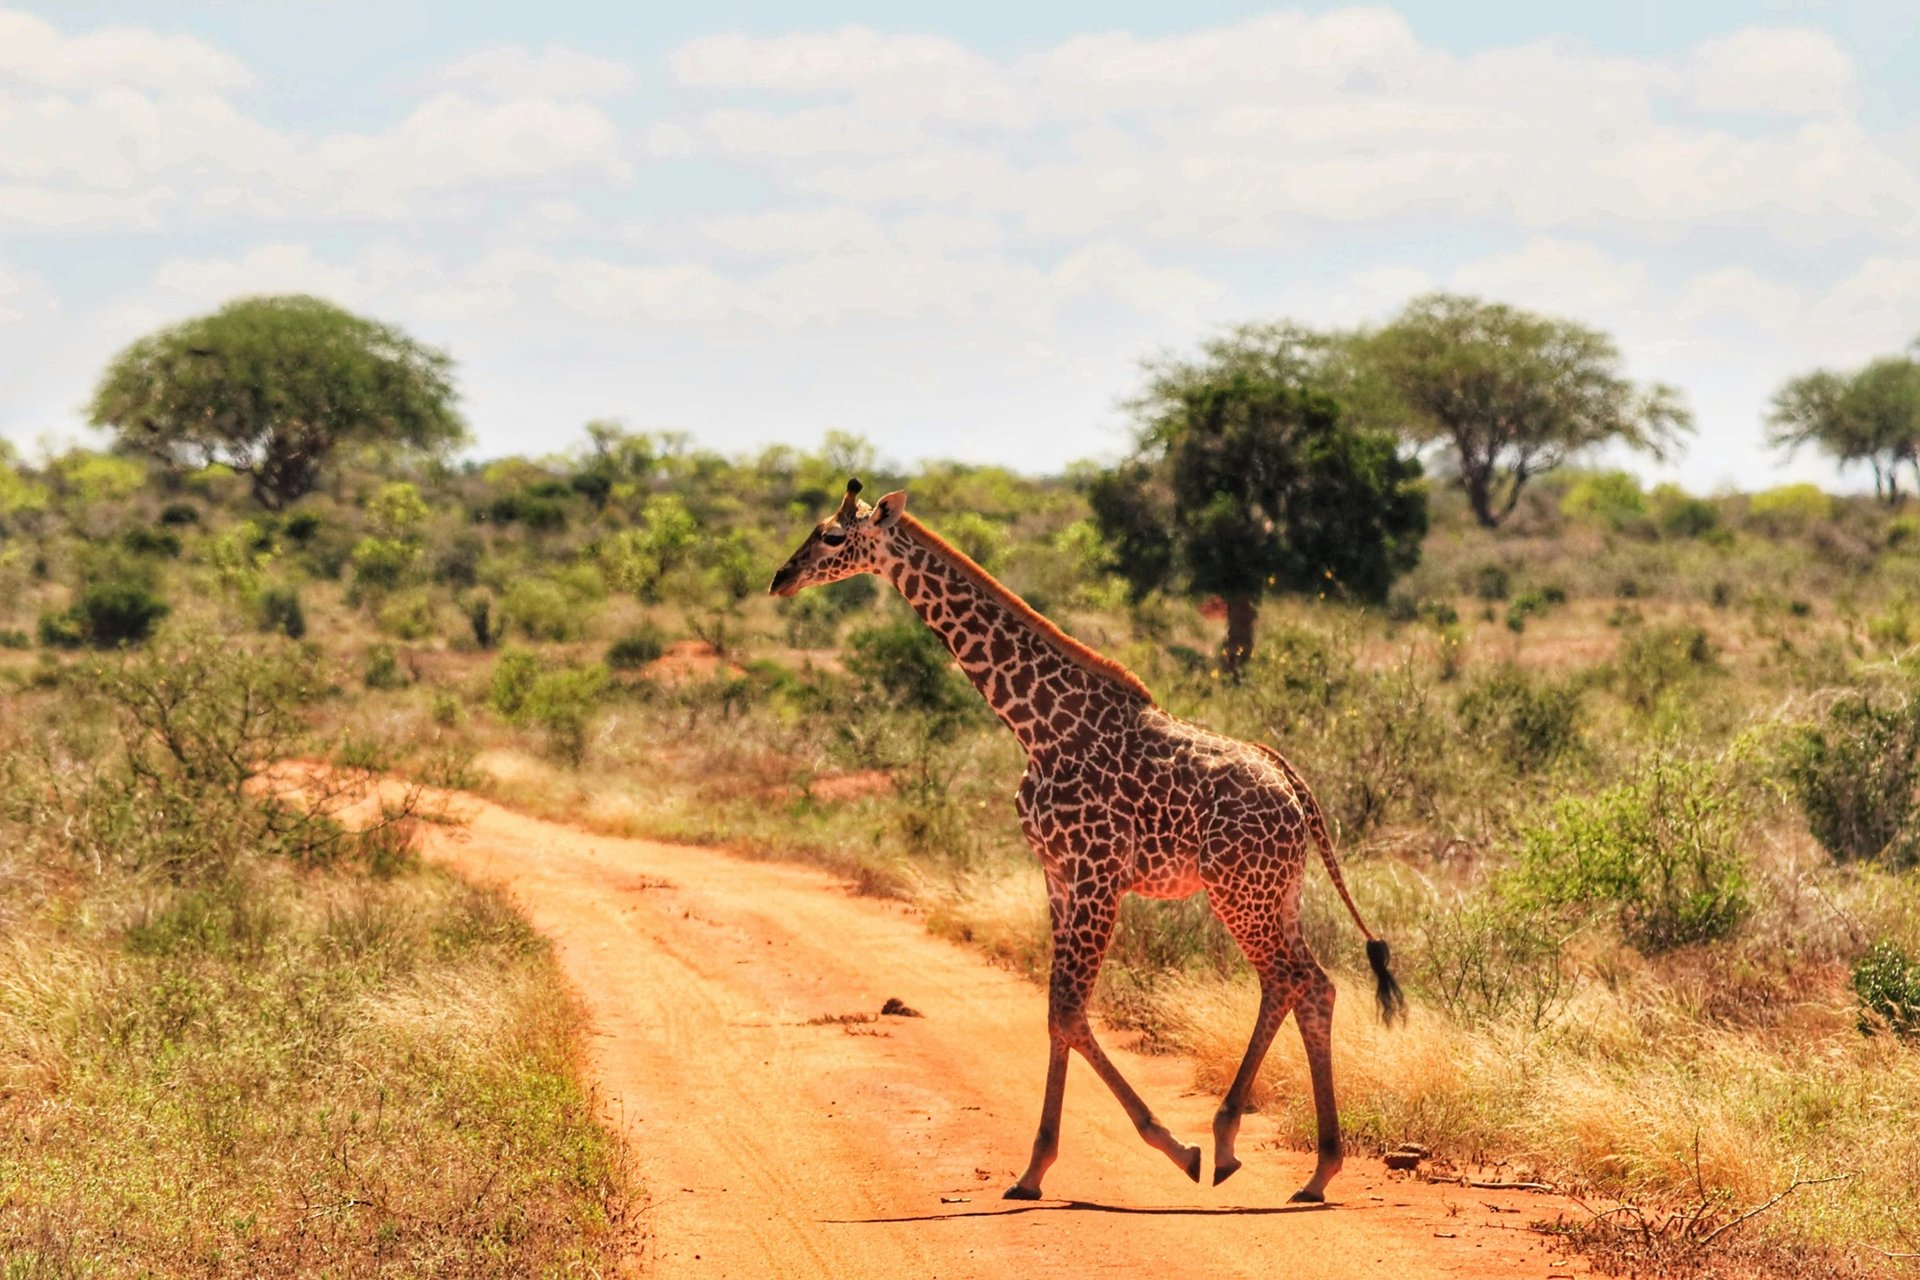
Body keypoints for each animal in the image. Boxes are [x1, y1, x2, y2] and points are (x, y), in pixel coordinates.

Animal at [768, 477, 1413, 1205]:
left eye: (832, 537)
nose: (780, 578)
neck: (1037, 726)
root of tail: (1295, 790)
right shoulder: (1056, 873)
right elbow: (1059, 1012)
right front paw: (1033, 1171)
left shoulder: (1097, 872)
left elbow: (1070, 1009)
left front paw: (1173, 1149)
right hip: (1277, 891)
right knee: (1312, 985)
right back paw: (1315, 1169)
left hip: (1239, 891)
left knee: (1290, 979)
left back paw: (1232, 1142)